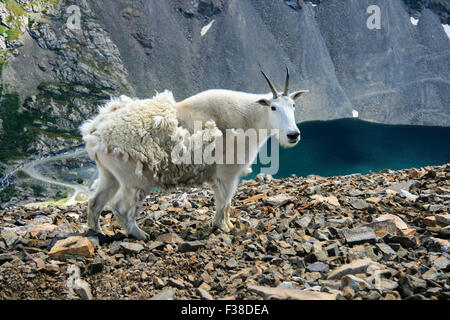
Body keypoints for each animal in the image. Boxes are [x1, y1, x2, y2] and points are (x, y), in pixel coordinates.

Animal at [80, 70, 306, 240]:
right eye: (274, 107)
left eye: (294, 106)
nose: (293, 135)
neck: (249, 118)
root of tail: (94, 131)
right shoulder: (228, 173)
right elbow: (225, 201)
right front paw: (225, 227)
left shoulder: (219, 176)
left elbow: (222, 201)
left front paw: (224, 224)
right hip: (134, 178)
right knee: (120, 207)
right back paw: (141, 234)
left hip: (109, 173)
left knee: (95, 201)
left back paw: (97, 232)